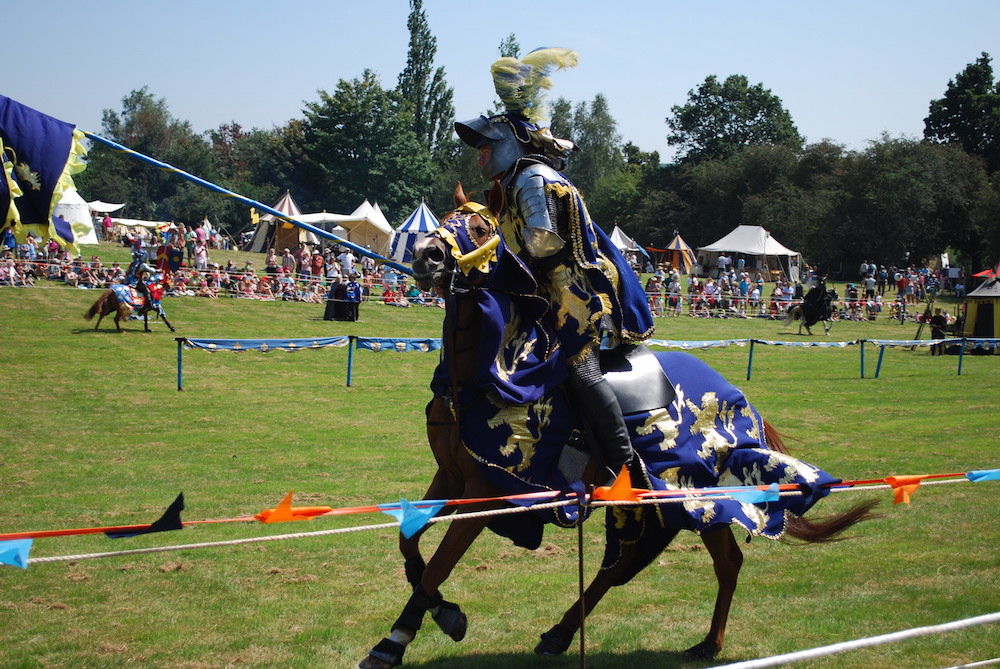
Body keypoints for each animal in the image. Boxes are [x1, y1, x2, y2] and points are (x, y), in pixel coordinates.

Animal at [360, 185, 876, 664]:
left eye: (482, 227)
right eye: (443, 219)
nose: (425, 256)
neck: (487, 374)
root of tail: (740, 399)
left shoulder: (489, 489)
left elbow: (437, 566)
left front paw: (395, 640)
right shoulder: (450, 477)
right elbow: (409, 544)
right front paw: (442, 612)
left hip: (697, 495)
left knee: (724, 562)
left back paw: (708, 644)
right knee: (623, 562)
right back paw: (563, 634)